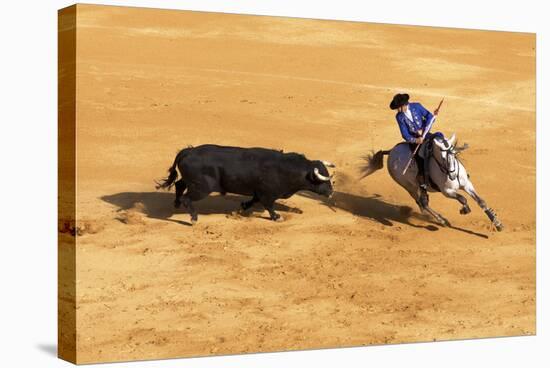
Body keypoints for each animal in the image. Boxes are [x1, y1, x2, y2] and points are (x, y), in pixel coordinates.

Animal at [156, 145, 336, 223]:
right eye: (322, 180)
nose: (331, 192)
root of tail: (188, 151)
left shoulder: (258, 191)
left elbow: (254, 200)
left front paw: (243, 206)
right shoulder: (267, 194)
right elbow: (269, 206)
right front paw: (277, 217)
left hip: (191, 183)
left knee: (179, 185)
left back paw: (176, 204)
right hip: (201, 188)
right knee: (187, 197)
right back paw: (193, 218)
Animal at [362, 134, 504, 231]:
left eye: (455, 154)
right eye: (442, 158)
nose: (453, 175)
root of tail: (391, 151)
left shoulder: (467, 185)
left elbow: (481, 201)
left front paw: (497, 224)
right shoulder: (447, 192)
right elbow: (462, 198)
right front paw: (465, 209)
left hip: (419, 187)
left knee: (423, 202)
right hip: (409, 186)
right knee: (422, 203)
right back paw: (442, 220)